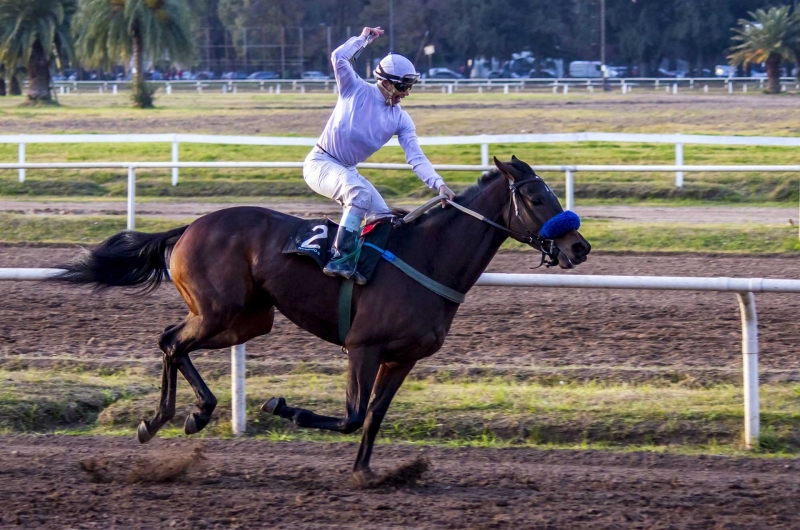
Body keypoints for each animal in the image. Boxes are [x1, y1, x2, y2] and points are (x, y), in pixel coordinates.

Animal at [50, 156, 588, 478]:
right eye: (536, 197)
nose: (579, 247)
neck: (428, 257)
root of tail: (188, 227)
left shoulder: (404, 358)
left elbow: (374, 416)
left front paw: (367, 473)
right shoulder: (363, 347)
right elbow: (351, 415)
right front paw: (283, 407)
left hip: (248, 319)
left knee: (171, 340)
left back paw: (168, 417)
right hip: (219, 310)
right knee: (172, 342)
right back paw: (183, 415)